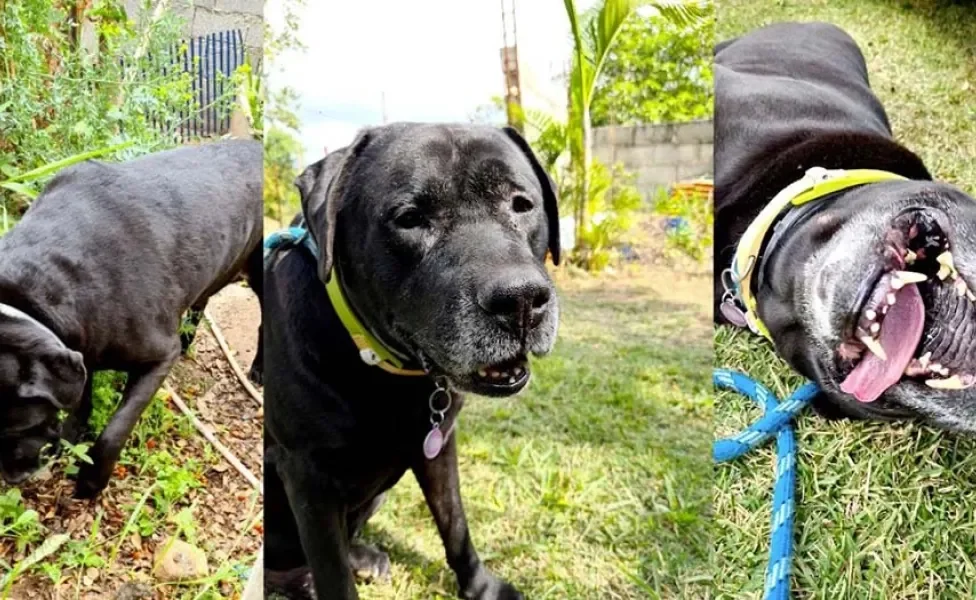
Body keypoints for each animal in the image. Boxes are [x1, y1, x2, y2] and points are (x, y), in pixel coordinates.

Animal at [0, 139, 264, 492]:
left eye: (18, 427)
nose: (13, 477)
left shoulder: (158, 358)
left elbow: (115, 429)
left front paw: (91, 481)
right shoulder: (82, 350)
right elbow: (82, 398)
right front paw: (74, 435)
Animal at [264, 123, 560, 600]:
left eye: (522, 204)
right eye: (409, 218)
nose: (520, 301)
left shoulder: (440, 445)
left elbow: (455, 524)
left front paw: (481, 586)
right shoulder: (308, 477)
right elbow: (334, 577)